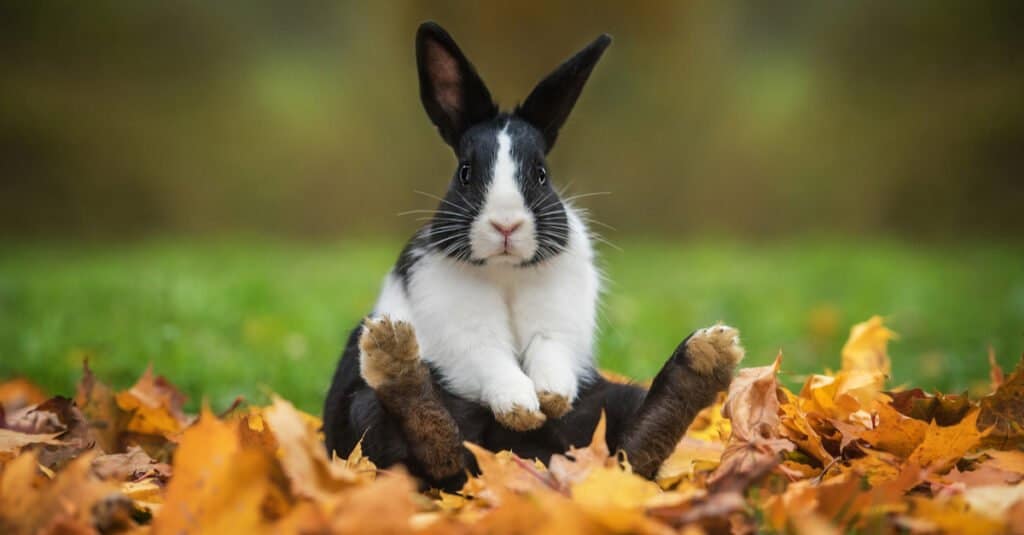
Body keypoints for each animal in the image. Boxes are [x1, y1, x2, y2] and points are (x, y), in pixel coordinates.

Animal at [321, 20, 745, 487]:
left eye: (541, 174)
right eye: (465, 173)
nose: (506, 225)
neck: (506, 272)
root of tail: (526, 458)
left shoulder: (558, 323)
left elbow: (549, 349)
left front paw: (550, 397)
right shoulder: (462, 328)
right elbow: (490, 357)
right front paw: (522, 408)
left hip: (609, 402)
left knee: (632, 452)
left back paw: (705, 358)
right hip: (364, 409)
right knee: (435, 449)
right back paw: (395, 356)